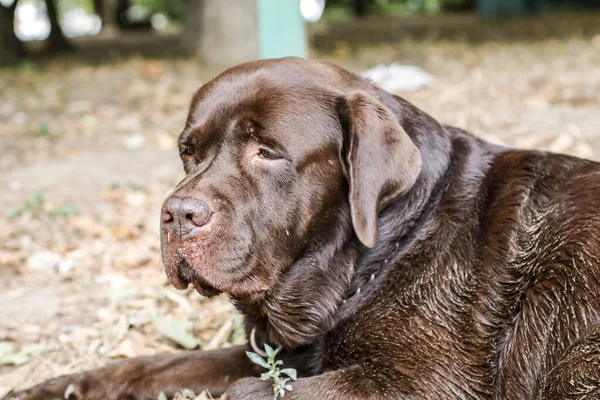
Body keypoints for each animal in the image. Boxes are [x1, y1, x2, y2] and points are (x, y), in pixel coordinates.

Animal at [4, 57, 600, 400]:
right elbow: (153, 366)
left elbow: (248, 393)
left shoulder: (424, 379)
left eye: (267, 152)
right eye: (188, 152)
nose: (177, 214)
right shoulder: (273, 351)